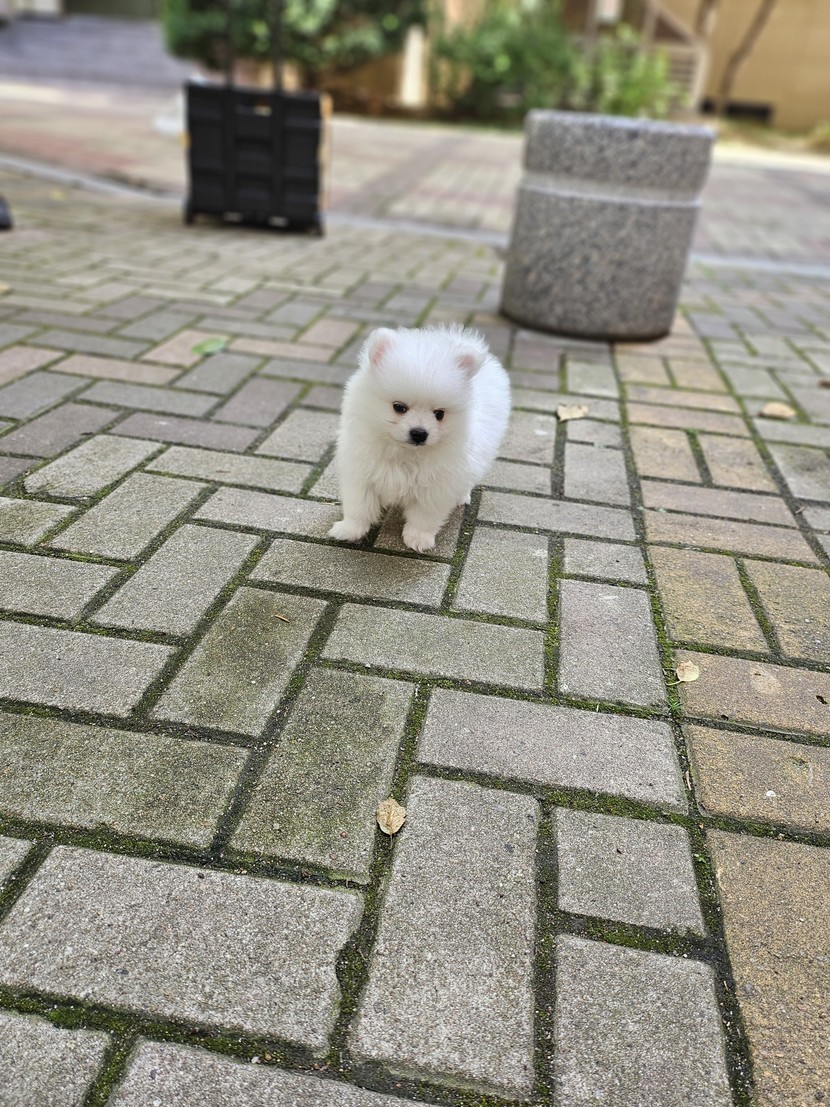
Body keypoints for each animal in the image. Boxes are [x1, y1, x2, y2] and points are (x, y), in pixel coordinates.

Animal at [328, 324, 511, 553]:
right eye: (399, 407)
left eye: (439, 414)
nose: (419, 433)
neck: (404, 453)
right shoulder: (362, 472)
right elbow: (360, 505)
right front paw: (349, 529)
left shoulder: (437, 485)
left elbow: (424, 515)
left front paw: (418, 538)